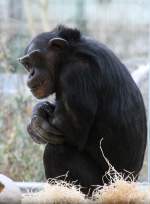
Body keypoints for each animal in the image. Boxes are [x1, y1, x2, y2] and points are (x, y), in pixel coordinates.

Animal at [18, 25, 146, 193]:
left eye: (33, 61)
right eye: (27, 65)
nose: (31, 73)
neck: (68, 55)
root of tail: (131, 182)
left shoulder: (74, 74)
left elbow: (69, 130)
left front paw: (37, 123)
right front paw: (37, 116)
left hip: (101, 186)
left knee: (57, 151)